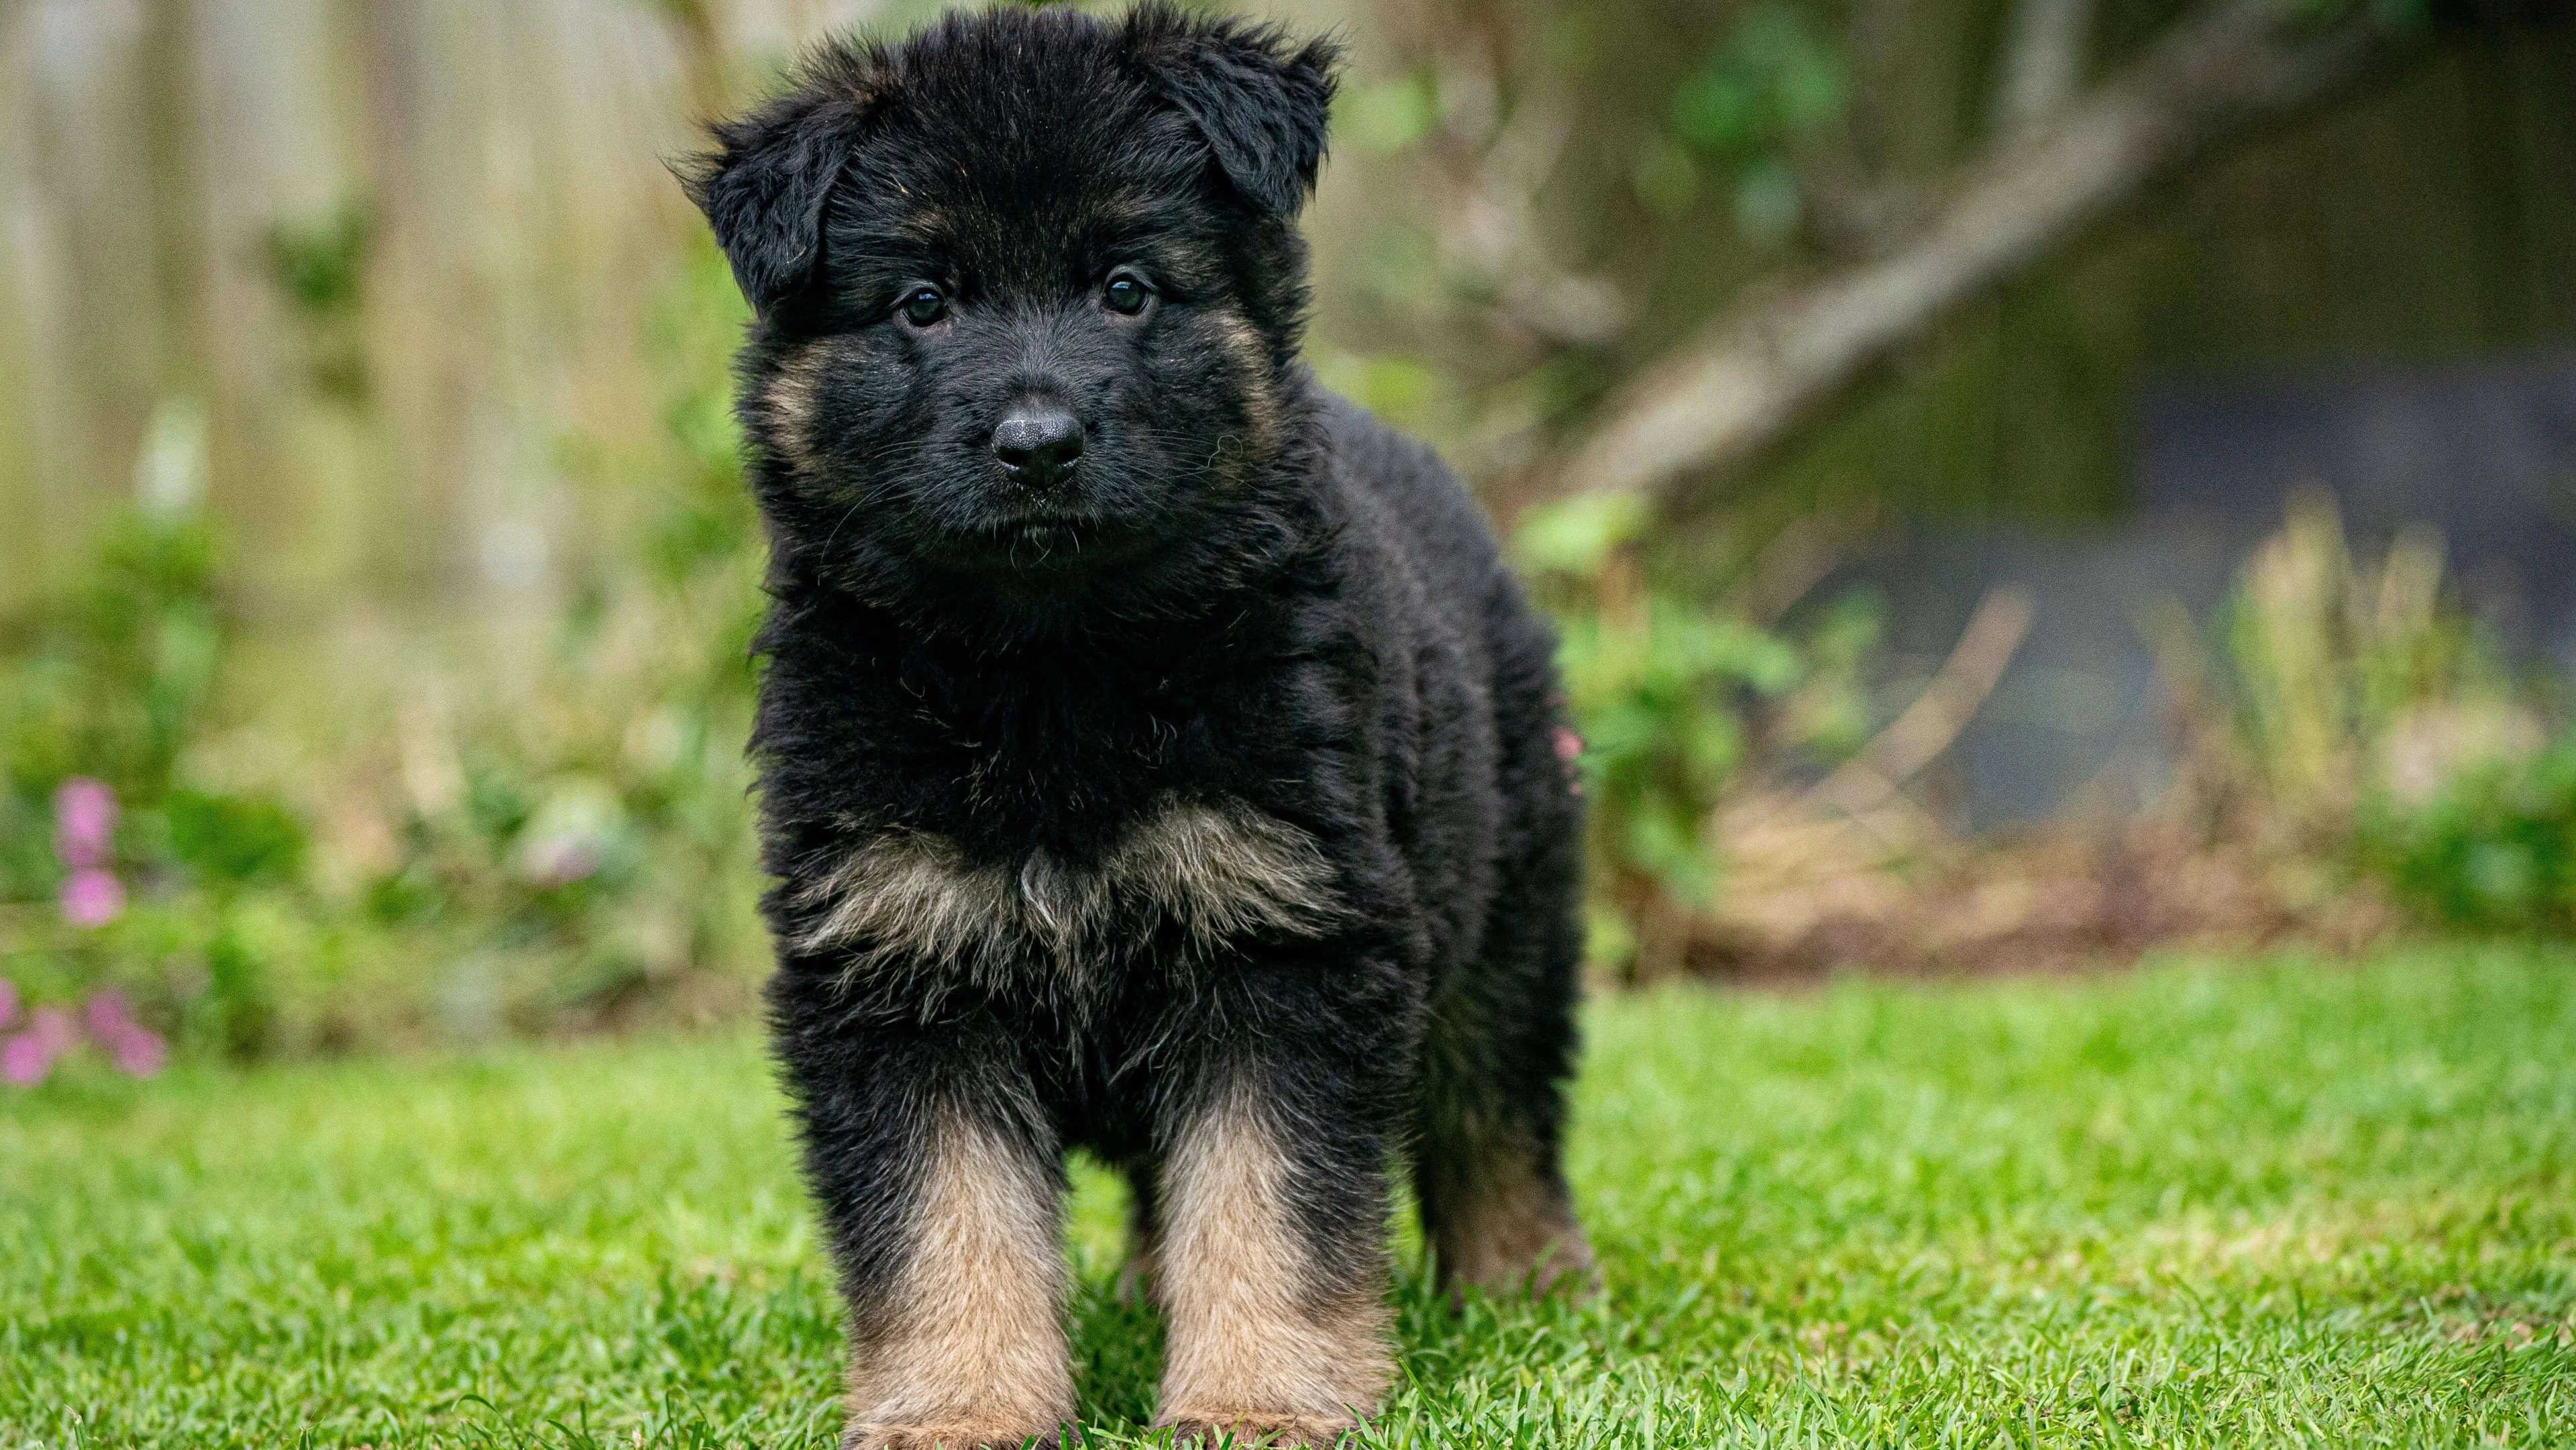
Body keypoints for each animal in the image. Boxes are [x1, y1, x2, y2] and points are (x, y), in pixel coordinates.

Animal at [685, 5, 1587, 1442]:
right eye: (924, 304)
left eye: (1127, 288)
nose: (1038, 443)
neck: (1053, 671)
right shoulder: (895, 963)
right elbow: (946, 1220)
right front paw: (961, 1405)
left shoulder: (1289, 940)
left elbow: (1269, 1199)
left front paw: (1261, 1395)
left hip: (1507, 902)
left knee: (1498, 1102)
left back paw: (1526, 1284)